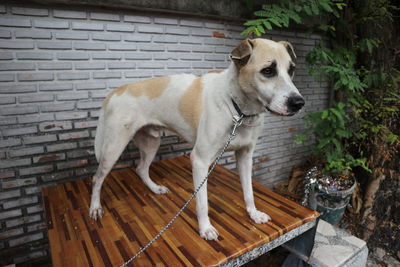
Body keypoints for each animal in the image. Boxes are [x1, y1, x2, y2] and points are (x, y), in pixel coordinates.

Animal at [90, 38, 304, 242]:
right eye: (268, 71)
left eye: (291, 70)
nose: (299, 103)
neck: (238, 109)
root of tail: (115, 92)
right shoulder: (200, 161)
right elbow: (202, 203)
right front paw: (205, 228)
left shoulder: (245, 156)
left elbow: (249, 192)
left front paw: (254, 214)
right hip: (113, 148)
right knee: (97, 178)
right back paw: (94, 207)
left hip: (151, 142)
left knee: (141, 168)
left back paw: (155, 188)